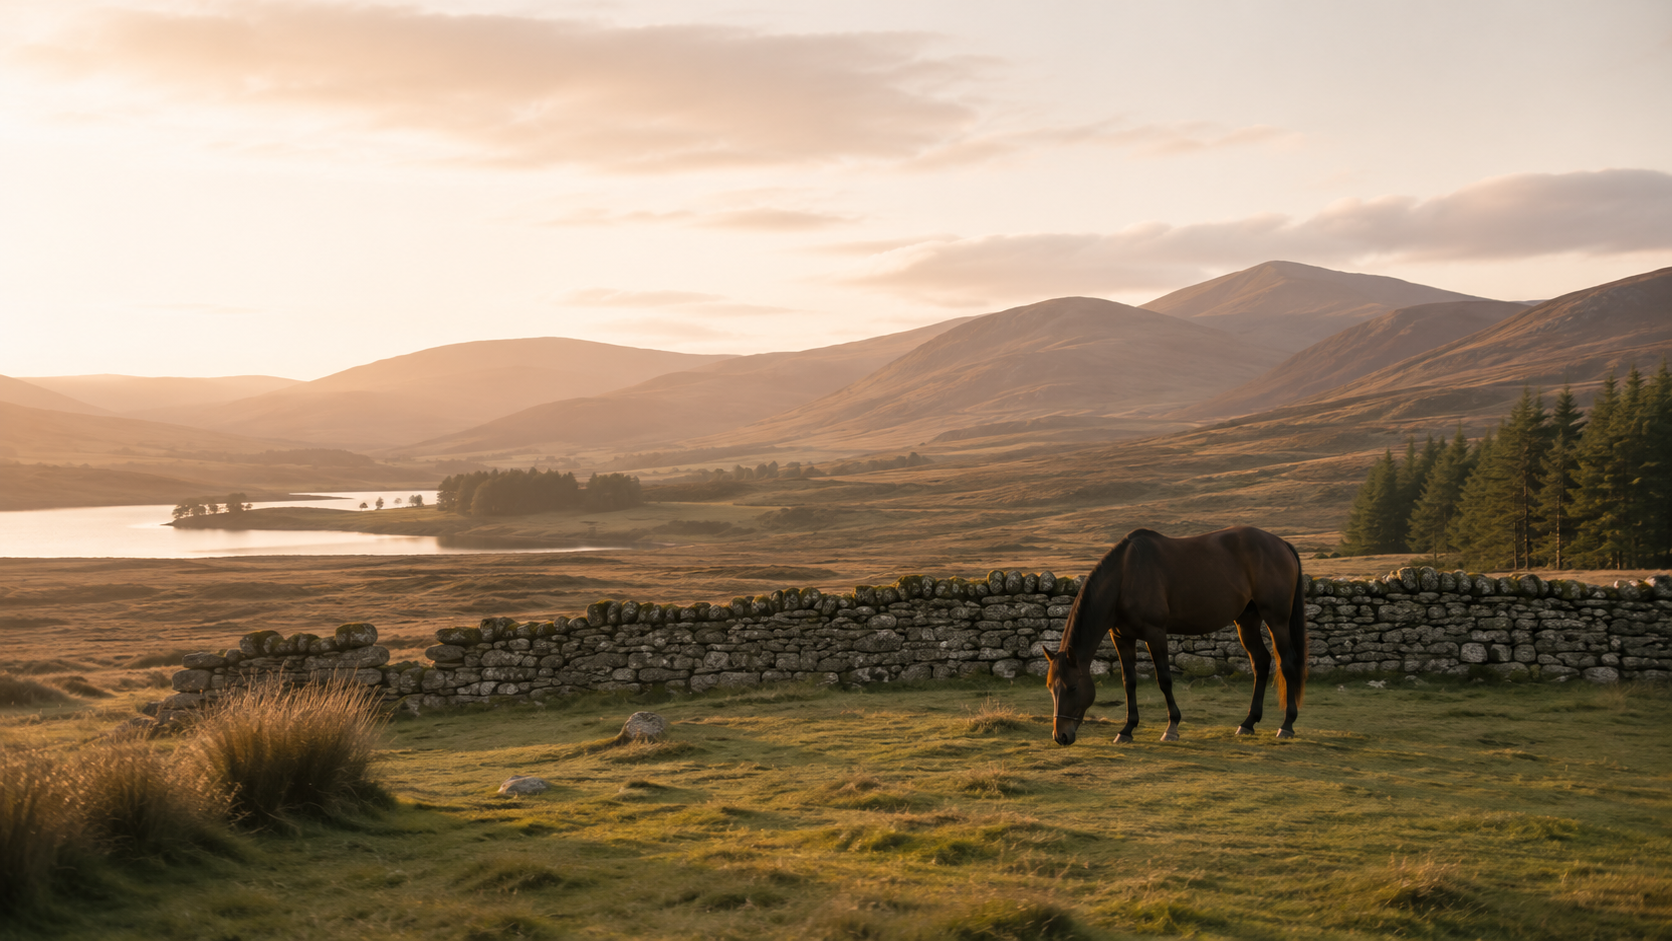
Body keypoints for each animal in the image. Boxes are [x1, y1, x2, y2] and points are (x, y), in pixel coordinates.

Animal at [1043, 525, 1308, 744]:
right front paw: (1127, 729)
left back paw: (1287, 725)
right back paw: (1248, 723)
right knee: (1261, 662)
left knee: (1287, 664)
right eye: (1050, 688)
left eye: (1072, 688)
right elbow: (1129, 681)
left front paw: (1171, 728)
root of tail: (1281, 544)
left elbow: (1164, 679)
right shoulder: (1122, 637)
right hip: (1247, 620)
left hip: (1277, 620)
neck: (1126, 576)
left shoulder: (1155, 633)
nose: (1061, 736)